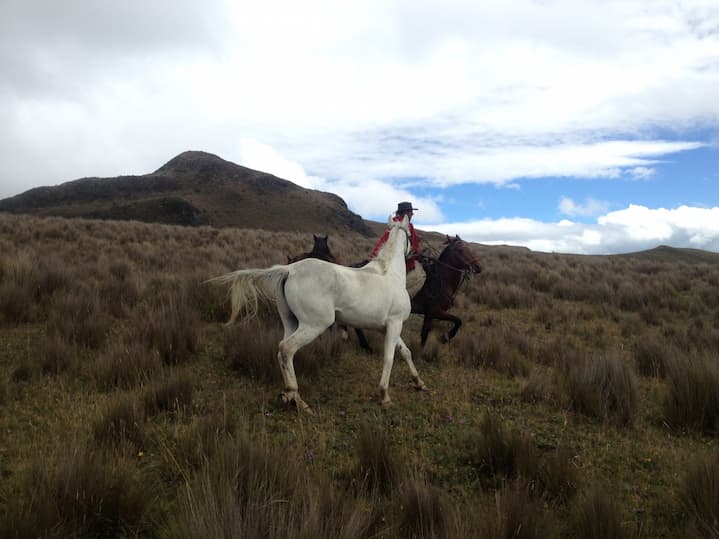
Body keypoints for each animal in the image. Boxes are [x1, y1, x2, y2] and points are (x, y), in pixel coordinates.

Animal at [208, 213, 424, 412]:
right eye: (411, 234)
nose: (415, 252)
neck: (391, 274)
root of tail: (289, 269)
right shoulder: (395, 323)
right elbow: (389, 358)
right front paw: (385, 396)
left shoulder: (387, 327)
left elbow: (405, 352)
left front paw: (419, 382)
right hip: (315, 324)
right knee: (287, 349)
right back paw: (298, 399)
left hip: (291, 323)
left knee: (281, 352)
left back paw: (287, 396)